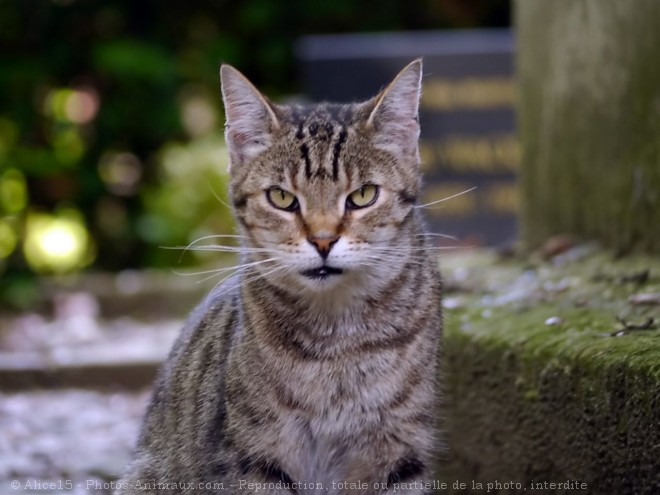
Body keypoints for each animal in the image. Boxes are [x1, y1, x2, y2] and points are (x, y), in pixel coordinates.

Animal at [117, 60, 444, 494]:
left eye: (363, 195)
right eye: (282, 198)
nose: (323, 240)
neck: (337, 342)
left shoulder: (399, 451)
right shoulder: (256, 456)